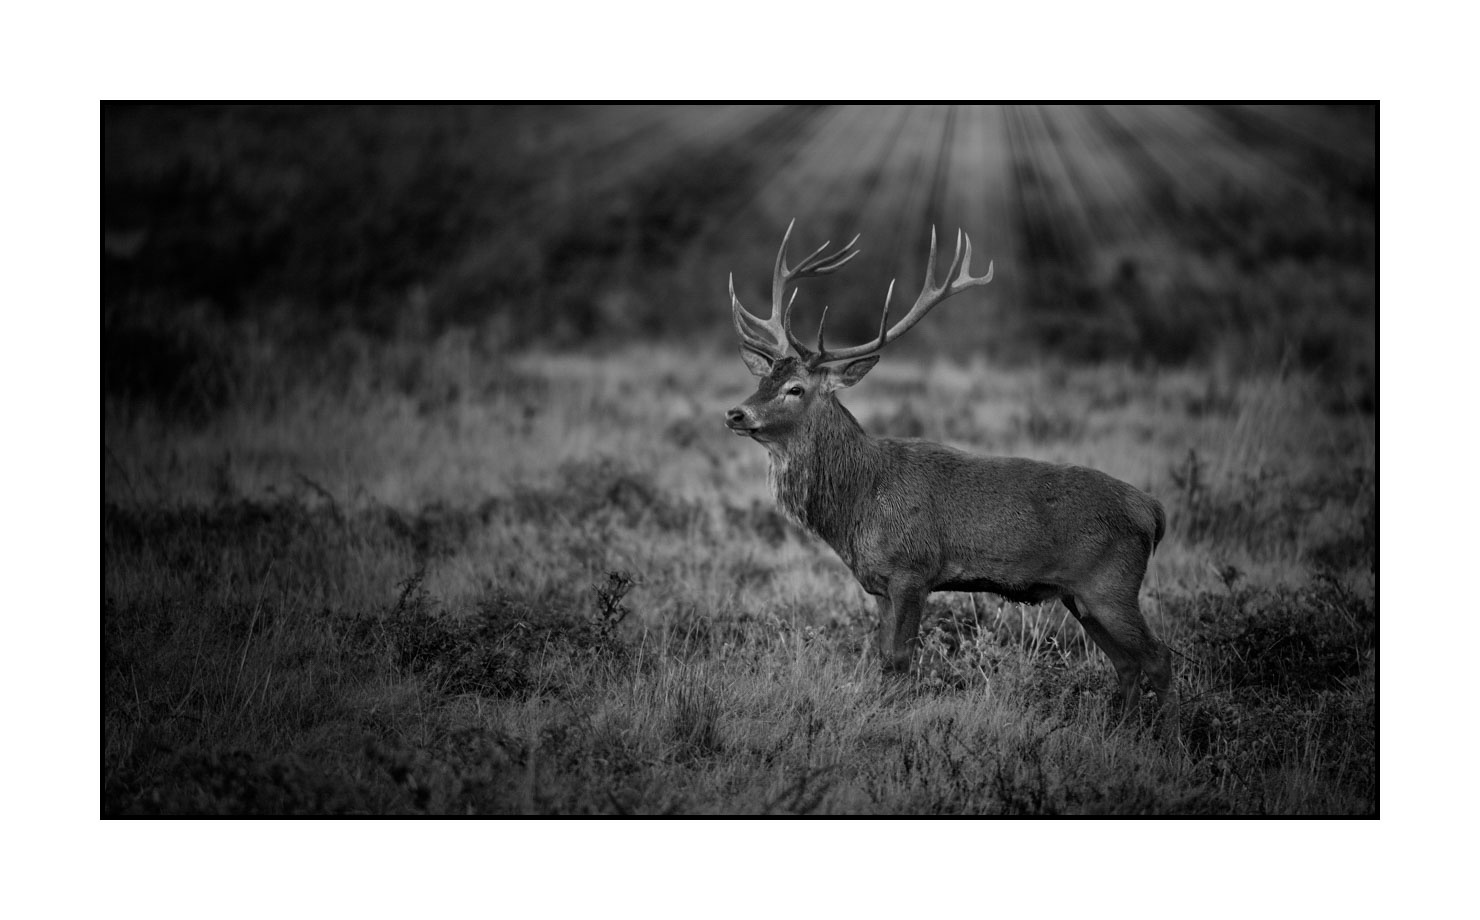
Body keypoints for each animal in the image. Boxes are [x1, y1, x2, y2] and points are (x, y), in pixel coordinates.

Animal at [724, 220, 1177, 721]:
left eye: (795, 388)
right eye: (761, 379)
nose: (736, 413)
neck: (858, 504)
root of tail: (1153, 511)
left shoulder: (913, 569)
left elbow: (901, 658)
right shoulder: (879, 585)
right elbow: (884, 658)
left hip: (1112, 584)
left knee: (1159, 658)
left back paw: (1169, 733)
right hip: (1081, 596)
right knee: (1127, 663)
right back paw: (1124, 728)